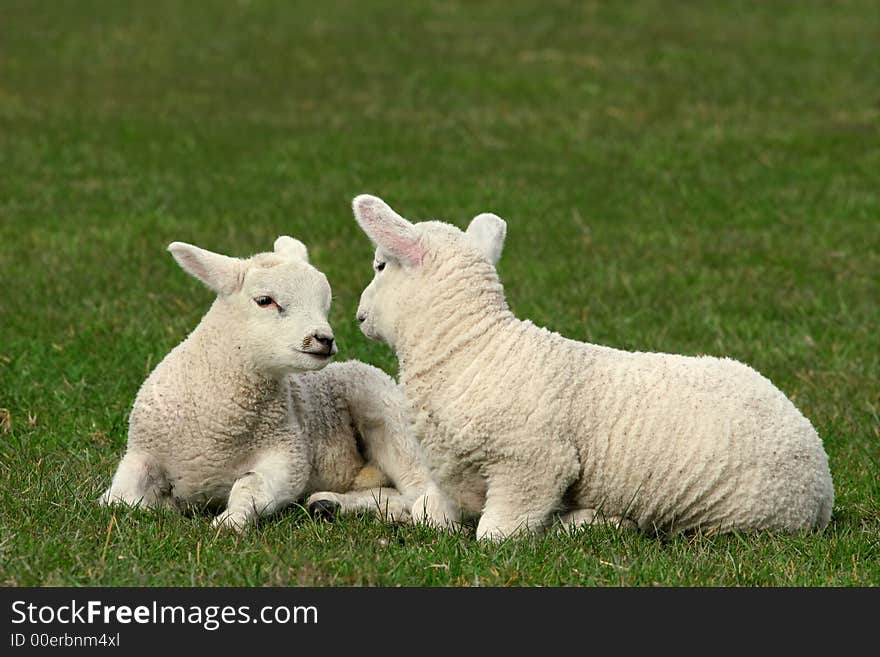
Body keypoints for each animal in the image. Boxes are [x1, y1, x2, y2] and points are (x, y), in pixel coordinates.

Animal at [101, 233, 438, 532]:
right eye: (265, 300)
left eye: (325, 304)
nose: (324, 339)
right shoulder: (140, 453)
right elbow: (117, 501)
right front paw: (156, 504)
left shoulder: (289, 455)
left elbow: (250, 484)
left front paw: (230, 521)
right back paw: (329, 504)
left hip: (389, 419)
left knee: (416, 487)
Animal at [348, 193, 832, 540]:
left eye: (380, 265)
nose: (359, 316)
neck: (474, 349)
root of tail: (822, 484)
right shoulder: (449, 471)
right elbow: (429, 512)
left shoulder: (534, 464)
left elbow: (495, 535)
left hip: (736, 513)